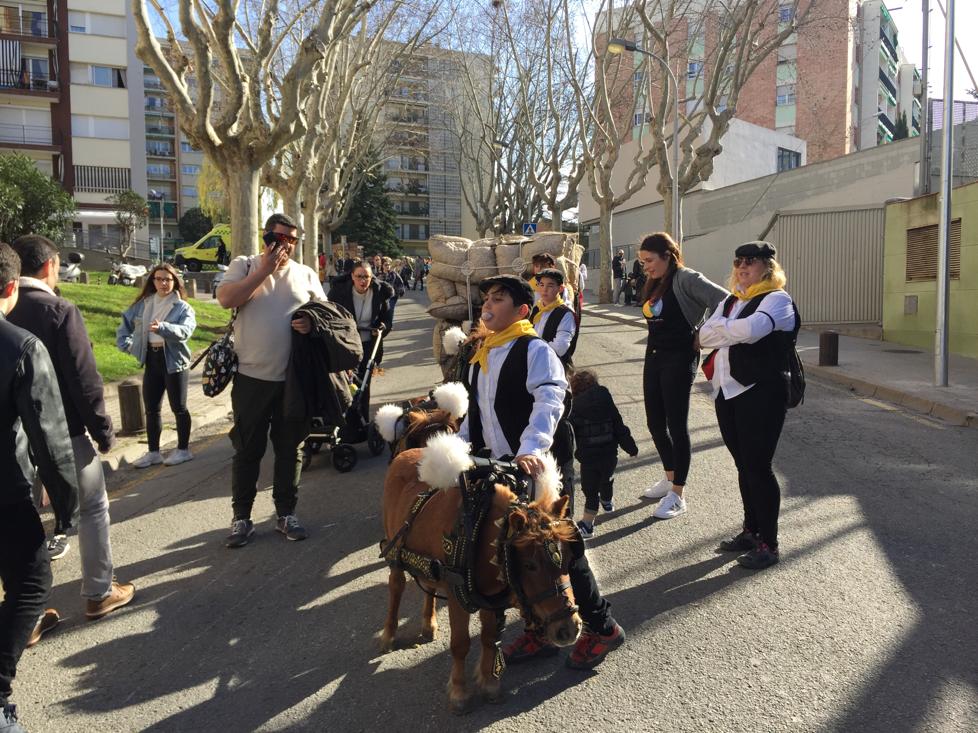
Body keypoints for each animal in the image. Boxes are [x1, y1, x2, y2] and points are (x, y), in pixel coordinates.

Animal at [380, 432, 580, 712]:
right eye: (530, 565)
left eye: (570, 556)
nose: (569, 629)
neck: (482, 531)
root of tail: (404, 454)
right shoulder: (456, 594)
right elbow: (460, 643)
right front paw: (459, 693)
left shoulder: (490, 600)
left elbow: (488, 638)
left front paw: (490, 683)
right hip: (395, 551)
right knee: (396, 586)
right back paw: (388, 634)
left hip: (429, 566)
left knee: (428, 586)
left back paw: (429, 624)